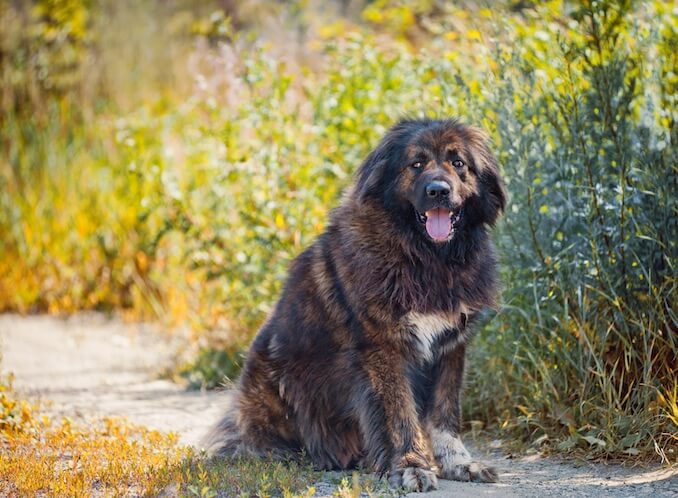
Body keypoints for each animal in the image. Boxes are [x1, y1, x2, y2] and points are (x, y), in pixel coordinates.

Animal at [205, 118, 508, 492]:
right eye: (416, 164)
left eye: (458, 162)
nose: (438, 190)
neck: (425, 259)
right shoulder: (383, 349)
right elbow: (399, 416)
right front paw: (411, 465)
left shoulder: (450, 347)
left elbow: (444, 414)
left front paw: (459, 464)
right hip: (273, 383)